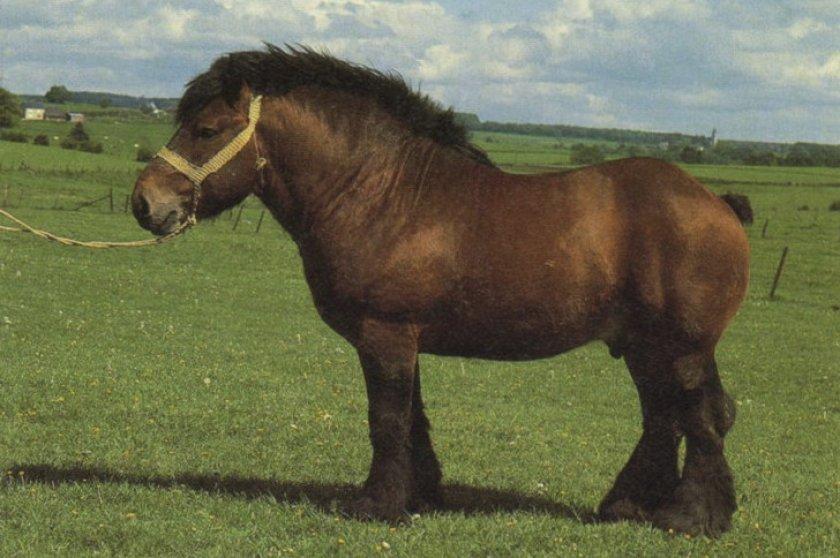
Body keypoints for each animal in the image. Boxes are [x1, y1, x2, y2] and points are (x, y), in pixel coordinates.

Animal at [132, 45, 749, 537]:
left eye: (206, 130)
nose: (144, 202)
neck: (380, 192)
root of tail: (716, 203)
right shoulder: (402, 339)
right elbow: (414, 418)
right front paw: (420, 495)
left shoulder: (385, 334)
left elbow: (387, 419)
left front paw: (377, 506)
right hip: (644, 348)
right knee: (663, 418)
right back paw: (628, 507)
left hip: (683, 348)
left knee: (700, 418)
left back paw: (689, 517)